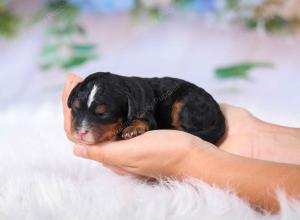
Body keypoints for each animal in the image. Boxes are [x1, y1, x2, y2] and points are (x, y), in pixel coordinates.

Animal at [67, 72, 225, 144]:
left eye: (103, 114)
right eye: (76, 108)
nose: (81, 132)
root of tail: (218, 110)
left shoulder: (147, 113)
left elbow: (142, 120)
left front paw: (132, 129)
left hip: (186, 103)